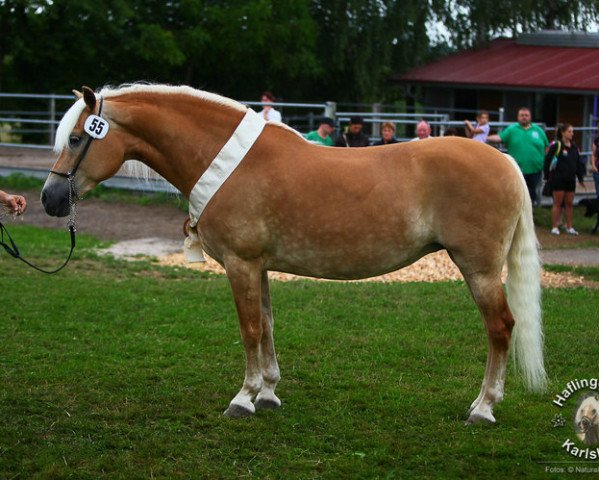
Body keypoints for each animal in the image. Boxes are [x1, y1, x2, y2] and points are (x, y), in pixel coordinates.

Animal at [42, 84, 548, 422]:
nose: (51, 199)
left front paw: (243, 398)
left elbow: (248, 329)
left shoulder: (241, 265)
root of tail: (505, 160)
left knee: (500, 328)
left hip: (480, 270)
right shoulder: (259, 267)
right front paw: (267, 393)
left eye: (76, 139)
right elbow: (266, 326)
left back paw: (483, 407)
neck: (228, 161)